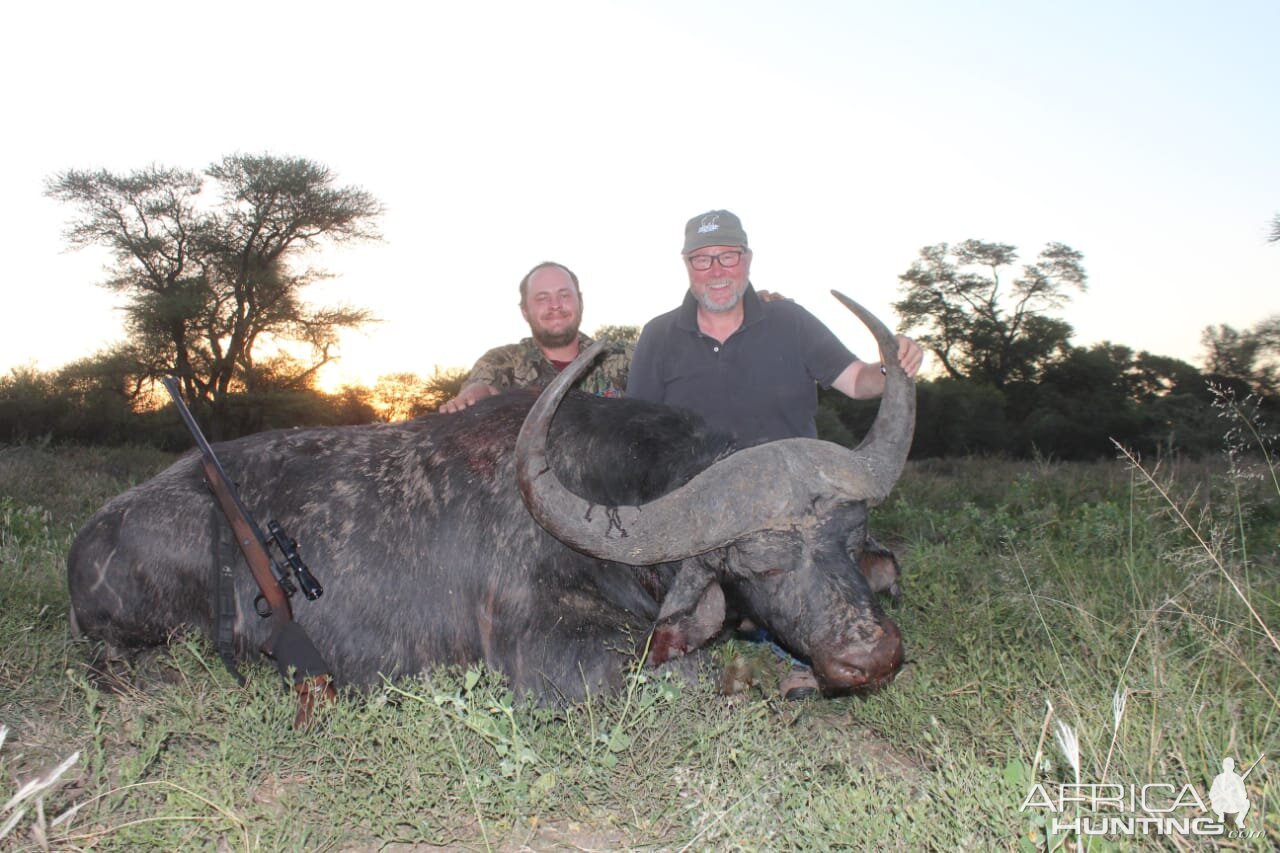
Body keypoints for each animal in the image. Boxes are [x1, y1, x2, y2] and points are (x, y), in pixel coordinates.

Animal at [67, 292, 911, 696]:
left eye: (846, 536)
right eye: (760, 558)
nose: (870, 656)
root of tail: (88, 540)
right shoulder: (555, 660)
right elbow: (707, 675)